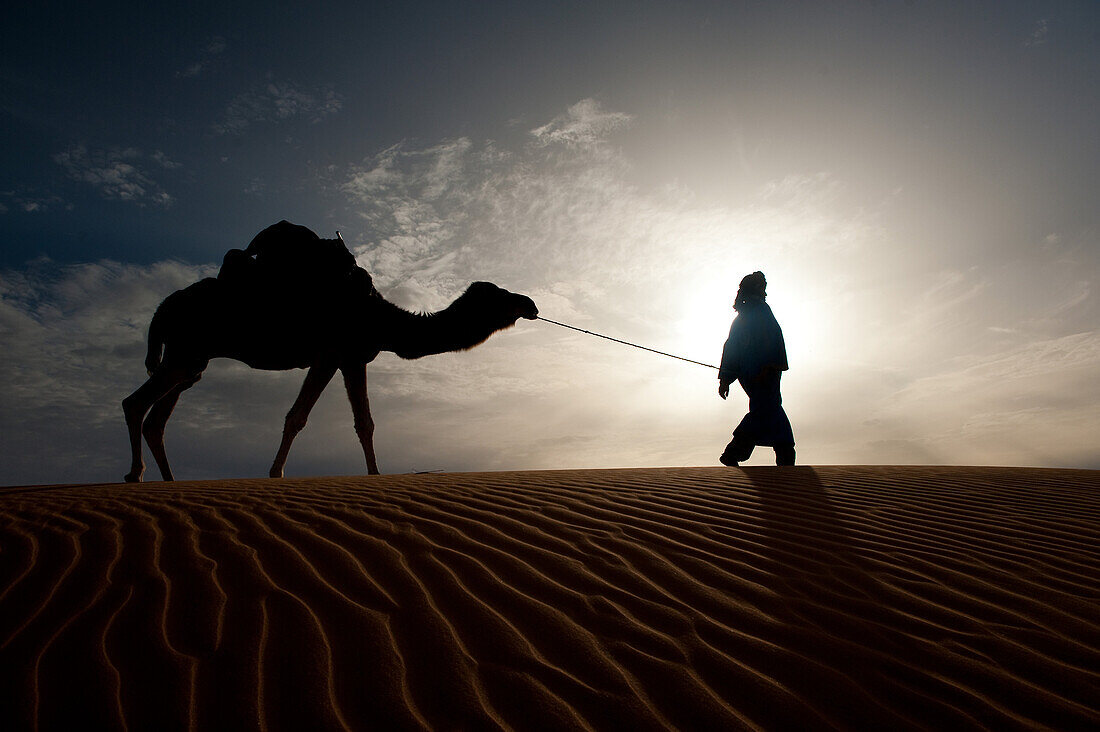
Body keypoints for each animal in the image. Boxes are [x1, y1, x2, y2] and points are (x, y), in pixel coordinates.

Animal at [124, 246, 536, 484]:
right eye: (499, 295)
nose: (530, 303)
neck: (382, 320)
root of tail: (164, 306)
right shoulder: (330, 353)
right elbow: (297, 417)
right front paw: (275, 474)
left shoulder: (354, 358)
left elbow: (365, 423)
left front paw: (375, 475)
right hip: (186, 351)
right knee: (134, 403)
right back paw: (134, 474)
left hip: (193, 360)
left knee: (157, 418)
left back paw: (169, 481)